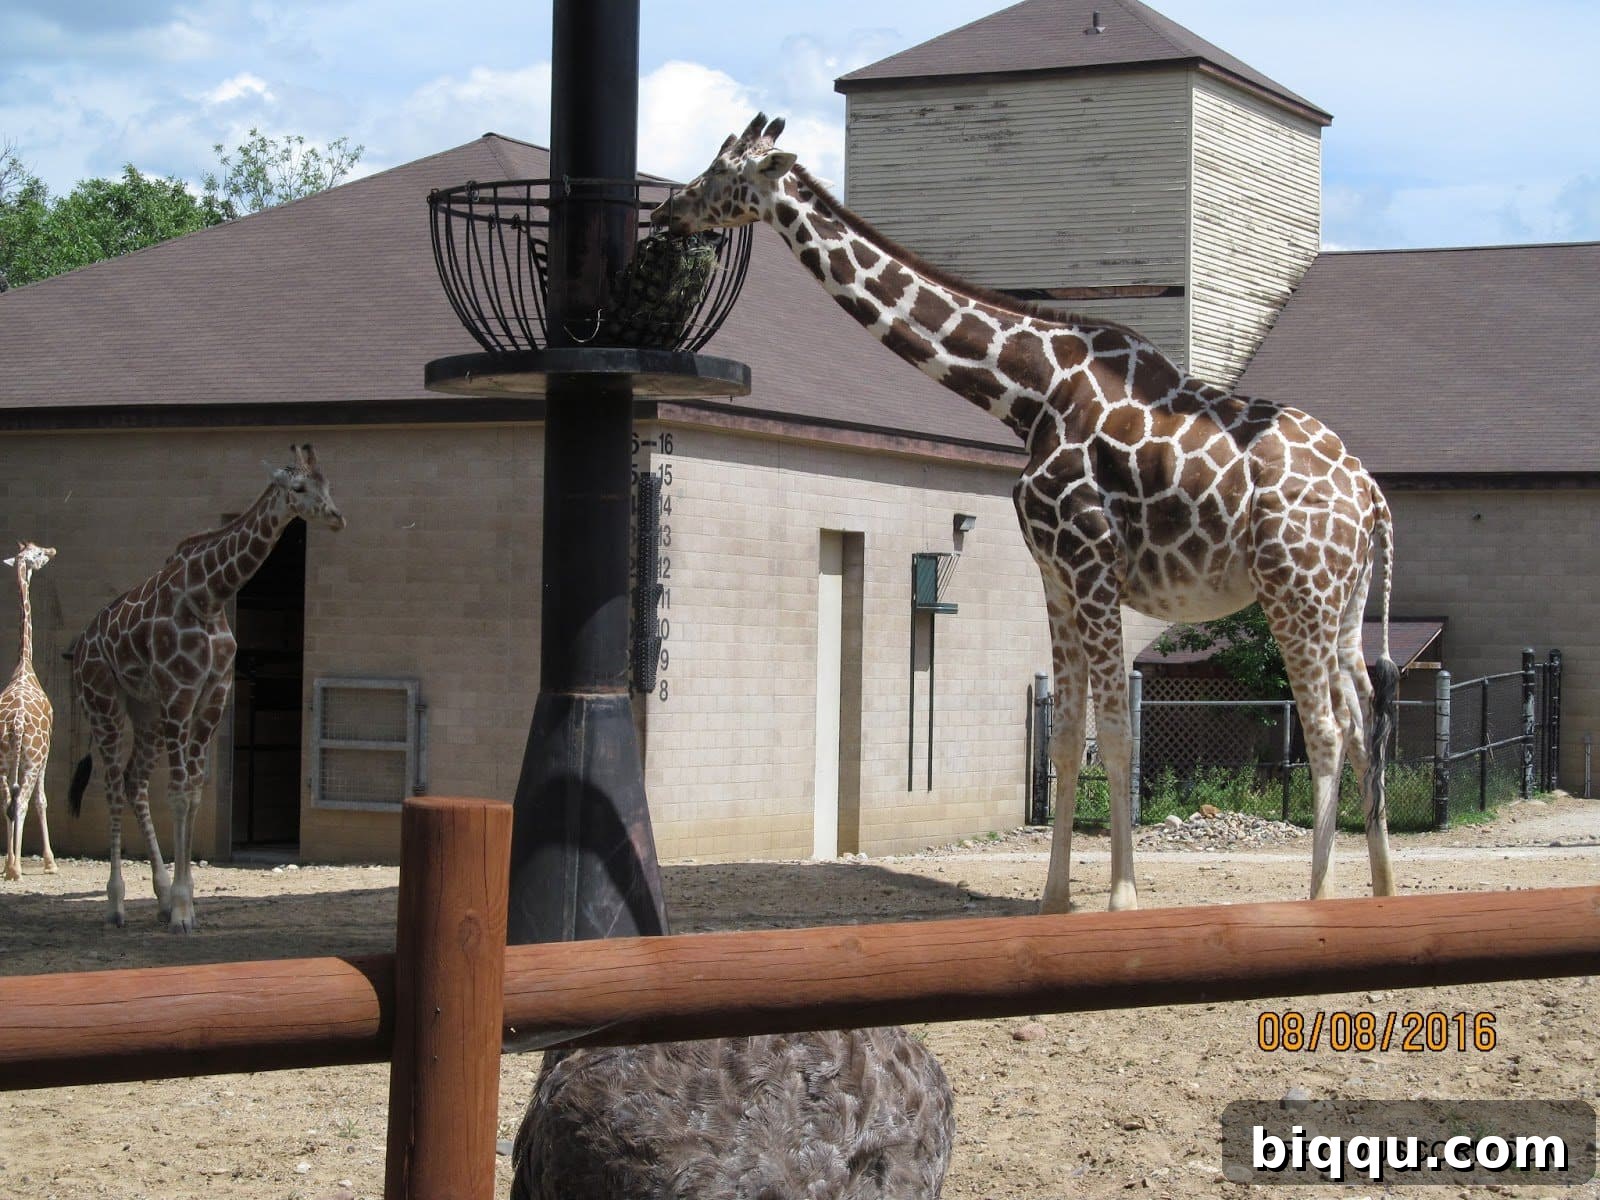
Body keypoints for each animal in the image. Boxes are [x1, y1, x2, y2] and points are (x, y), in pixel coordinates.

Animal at [67, 444, 344, 932]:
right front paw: (182, 911)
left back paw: (157, 897)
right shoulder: (180, 692)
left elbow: (195, 791)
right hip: (104, 703)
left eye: (327, 483)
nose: (335, 516)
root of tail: (79, 648)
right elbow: (180, 792)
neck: (209, 595)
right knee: (114, 785)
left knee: (135, 780)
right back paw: (116, 905)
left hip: (145, 710)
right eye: (298, 488)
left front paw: (182, 902)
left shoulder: (214, 695)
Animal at [654, 115, 1397, 913]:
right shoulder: (1055, 577)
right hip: (1344, 602)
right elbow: (1066, 735)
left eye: (723, 172)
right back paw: (1384, 891)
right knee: (1364, 722)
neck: (1027, 393)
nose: (669, 212)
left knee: (1326, 729)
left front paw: (1122, 897)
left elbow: (1117, 730)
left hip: (1297, 592)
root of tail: (1372, 496)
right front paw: (1053, 898)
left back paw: (1319, 899)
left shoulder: (1093, 564)